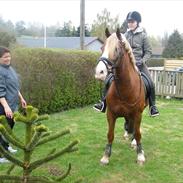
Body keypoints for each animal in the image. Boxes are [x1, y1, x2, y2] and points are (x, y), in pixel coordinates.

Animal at [94, 27, 147, 165]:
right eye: (102, 47)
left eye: (117, 49)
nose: (99, 72)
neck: (126, 88)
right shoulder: (111, 114)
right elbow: (110, 134)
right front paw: (106, 156)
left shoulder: (137, 114)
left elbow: (138, 133)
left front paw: (140, 155)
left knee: (135, 129)